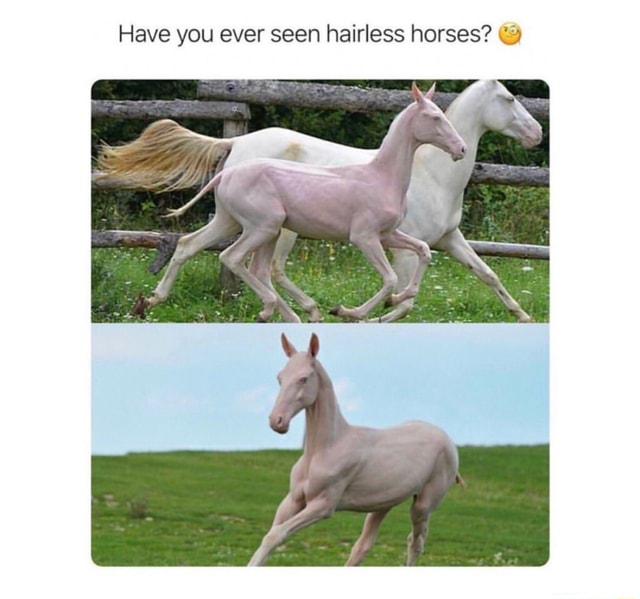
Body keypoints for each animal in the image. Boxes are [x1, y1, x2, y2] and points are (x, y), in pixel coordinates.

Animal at [97, 80, 543, 322]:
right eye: (508, 98)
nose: (537, 133)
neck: (430, 173)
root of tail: (236, 143)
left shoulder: (445, 238)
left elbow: (487, 274)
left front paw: (522, 314)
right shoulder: (385, 241)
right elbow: (403, 292)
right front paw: (372, 313)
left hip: (238, 222)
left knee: (196, 247)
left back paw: (152, 301)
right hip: (271, 228)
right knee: (259, 266)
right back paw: (300, 310)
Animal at [248, 333, 462, 566]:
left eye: (303, 379)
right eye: (280, 378)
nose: (277, 421)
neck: (323, 449)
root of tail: (448, 440)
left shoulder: (323, 505)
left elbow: (276, 535)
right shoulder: (293, 500)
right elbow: (270, 535)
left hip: (424, 504)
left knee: (416, 542)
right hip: (384, 503)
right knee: (363, 546)